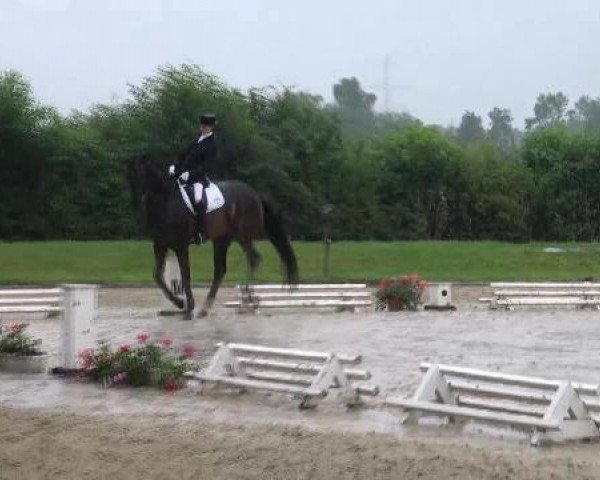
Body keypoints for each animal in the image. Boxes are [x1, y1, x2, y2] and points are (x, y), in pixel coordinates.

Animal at [125, 155, 298, 318]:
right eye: (129, 174)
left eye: (141, 173)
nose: (137, 199)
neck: (166, 201)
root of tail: (254, 194)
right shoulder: (160, 244)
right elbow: (158, 276)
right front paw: (180, 303)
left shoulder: (181, 245)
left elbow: (185, 275)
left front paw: (188, 307)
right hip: (222, 239)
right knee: (221, 270)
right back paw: (207, 308)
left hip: (243, 235)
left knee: (253, 259)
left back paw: (247, 300)